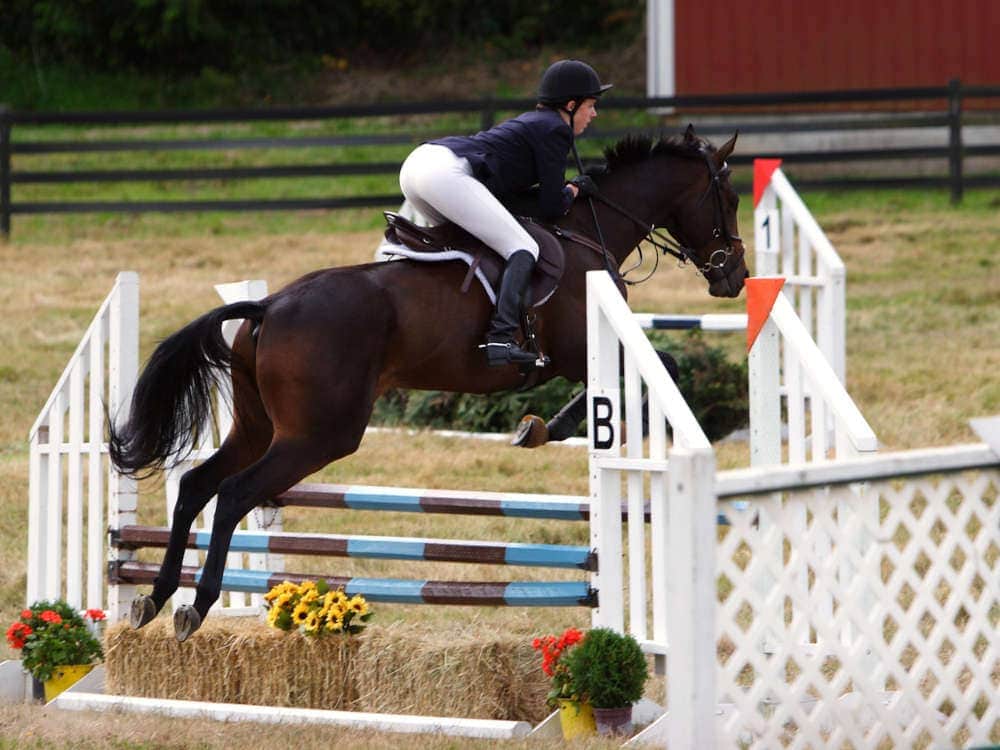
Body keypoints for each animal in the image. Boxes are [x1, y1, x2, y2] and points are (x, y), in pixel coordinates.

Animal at [109, 125, 749, 641]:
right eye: (730, 197)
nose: (735, 277)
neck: (593, 231)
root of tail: (269, 305)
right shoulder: (579, 351)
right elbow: (662, 365)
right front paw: (545, 428)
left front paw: (538, 428)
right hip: (318, 435)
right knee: (234, 493)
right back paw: (194, 606)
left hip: (258, 427)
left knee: (197, 486)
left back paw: (154, 598)